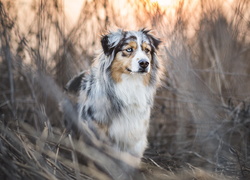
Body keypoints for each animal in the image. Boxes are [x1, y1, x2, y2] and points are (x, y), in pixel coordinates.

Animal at [65, 28, 162, 161]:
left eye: (147, 50)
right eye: (129, 49)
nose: (144, 63)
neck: (130, 84)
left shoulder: (134, 135)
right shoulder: (95, 127)